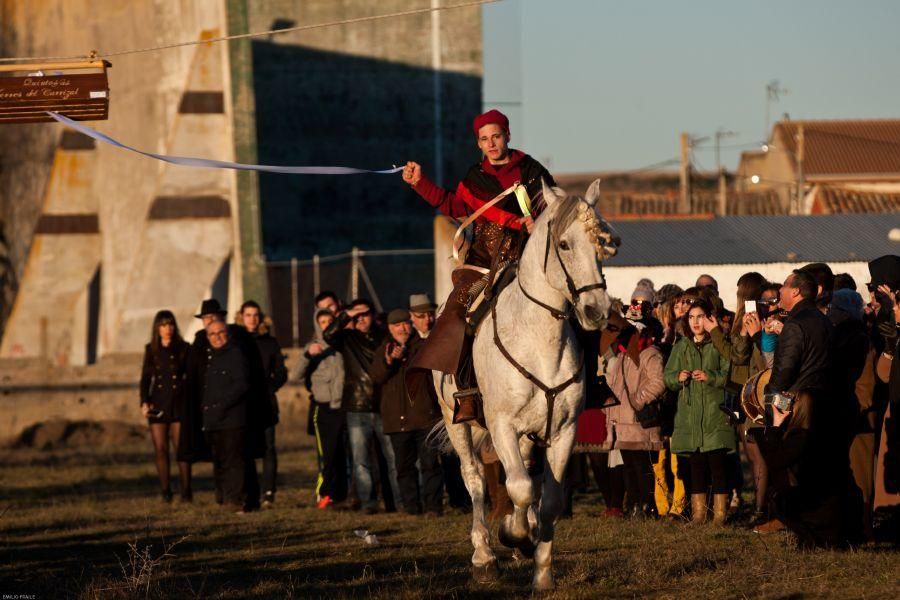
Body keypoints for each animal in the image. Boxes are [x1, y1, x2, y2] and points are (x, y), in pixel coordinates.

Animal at [434, 178, 620, 592]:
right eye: (564, 244)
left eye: (602, 245)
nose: (597, 311)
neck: (539, 341)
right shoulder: (501, 424)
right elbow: (519, 486)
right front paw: (513, 535)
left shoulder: (563, 431)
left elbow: (546, 500)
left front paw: (542, 572)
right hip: (458, 423)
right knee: (475, 479)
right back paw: (484, 556)